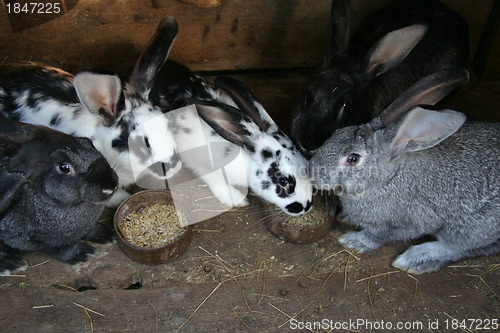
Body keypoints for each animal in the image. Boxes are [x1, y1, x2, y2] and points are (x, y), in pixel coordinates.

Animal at [0, 115, 119, 274]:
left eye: (89, 142)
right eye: (64, 167)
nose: (111, 186)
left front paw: (105, 235)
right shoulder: (22, 236)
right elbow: (55, 248)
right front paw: (83, 254)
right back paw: (13, 265)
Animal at [166, 76, 310, 215]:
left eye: (306, 169)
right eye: (283, 182)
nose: (307, 206)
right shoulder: (199, 164)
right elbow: (214, 179)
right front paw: (237, 199)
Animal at [310, 67, 498, 272]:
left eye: (353, 159)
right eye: (336, 133)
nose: (310, 171)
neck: (389, 178)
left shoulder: (412, 223)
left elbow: (380, 236)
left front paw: (355, 241)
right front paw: (346, 217)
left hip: (471, 229)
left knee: (464, 248)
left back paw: (416, 259)